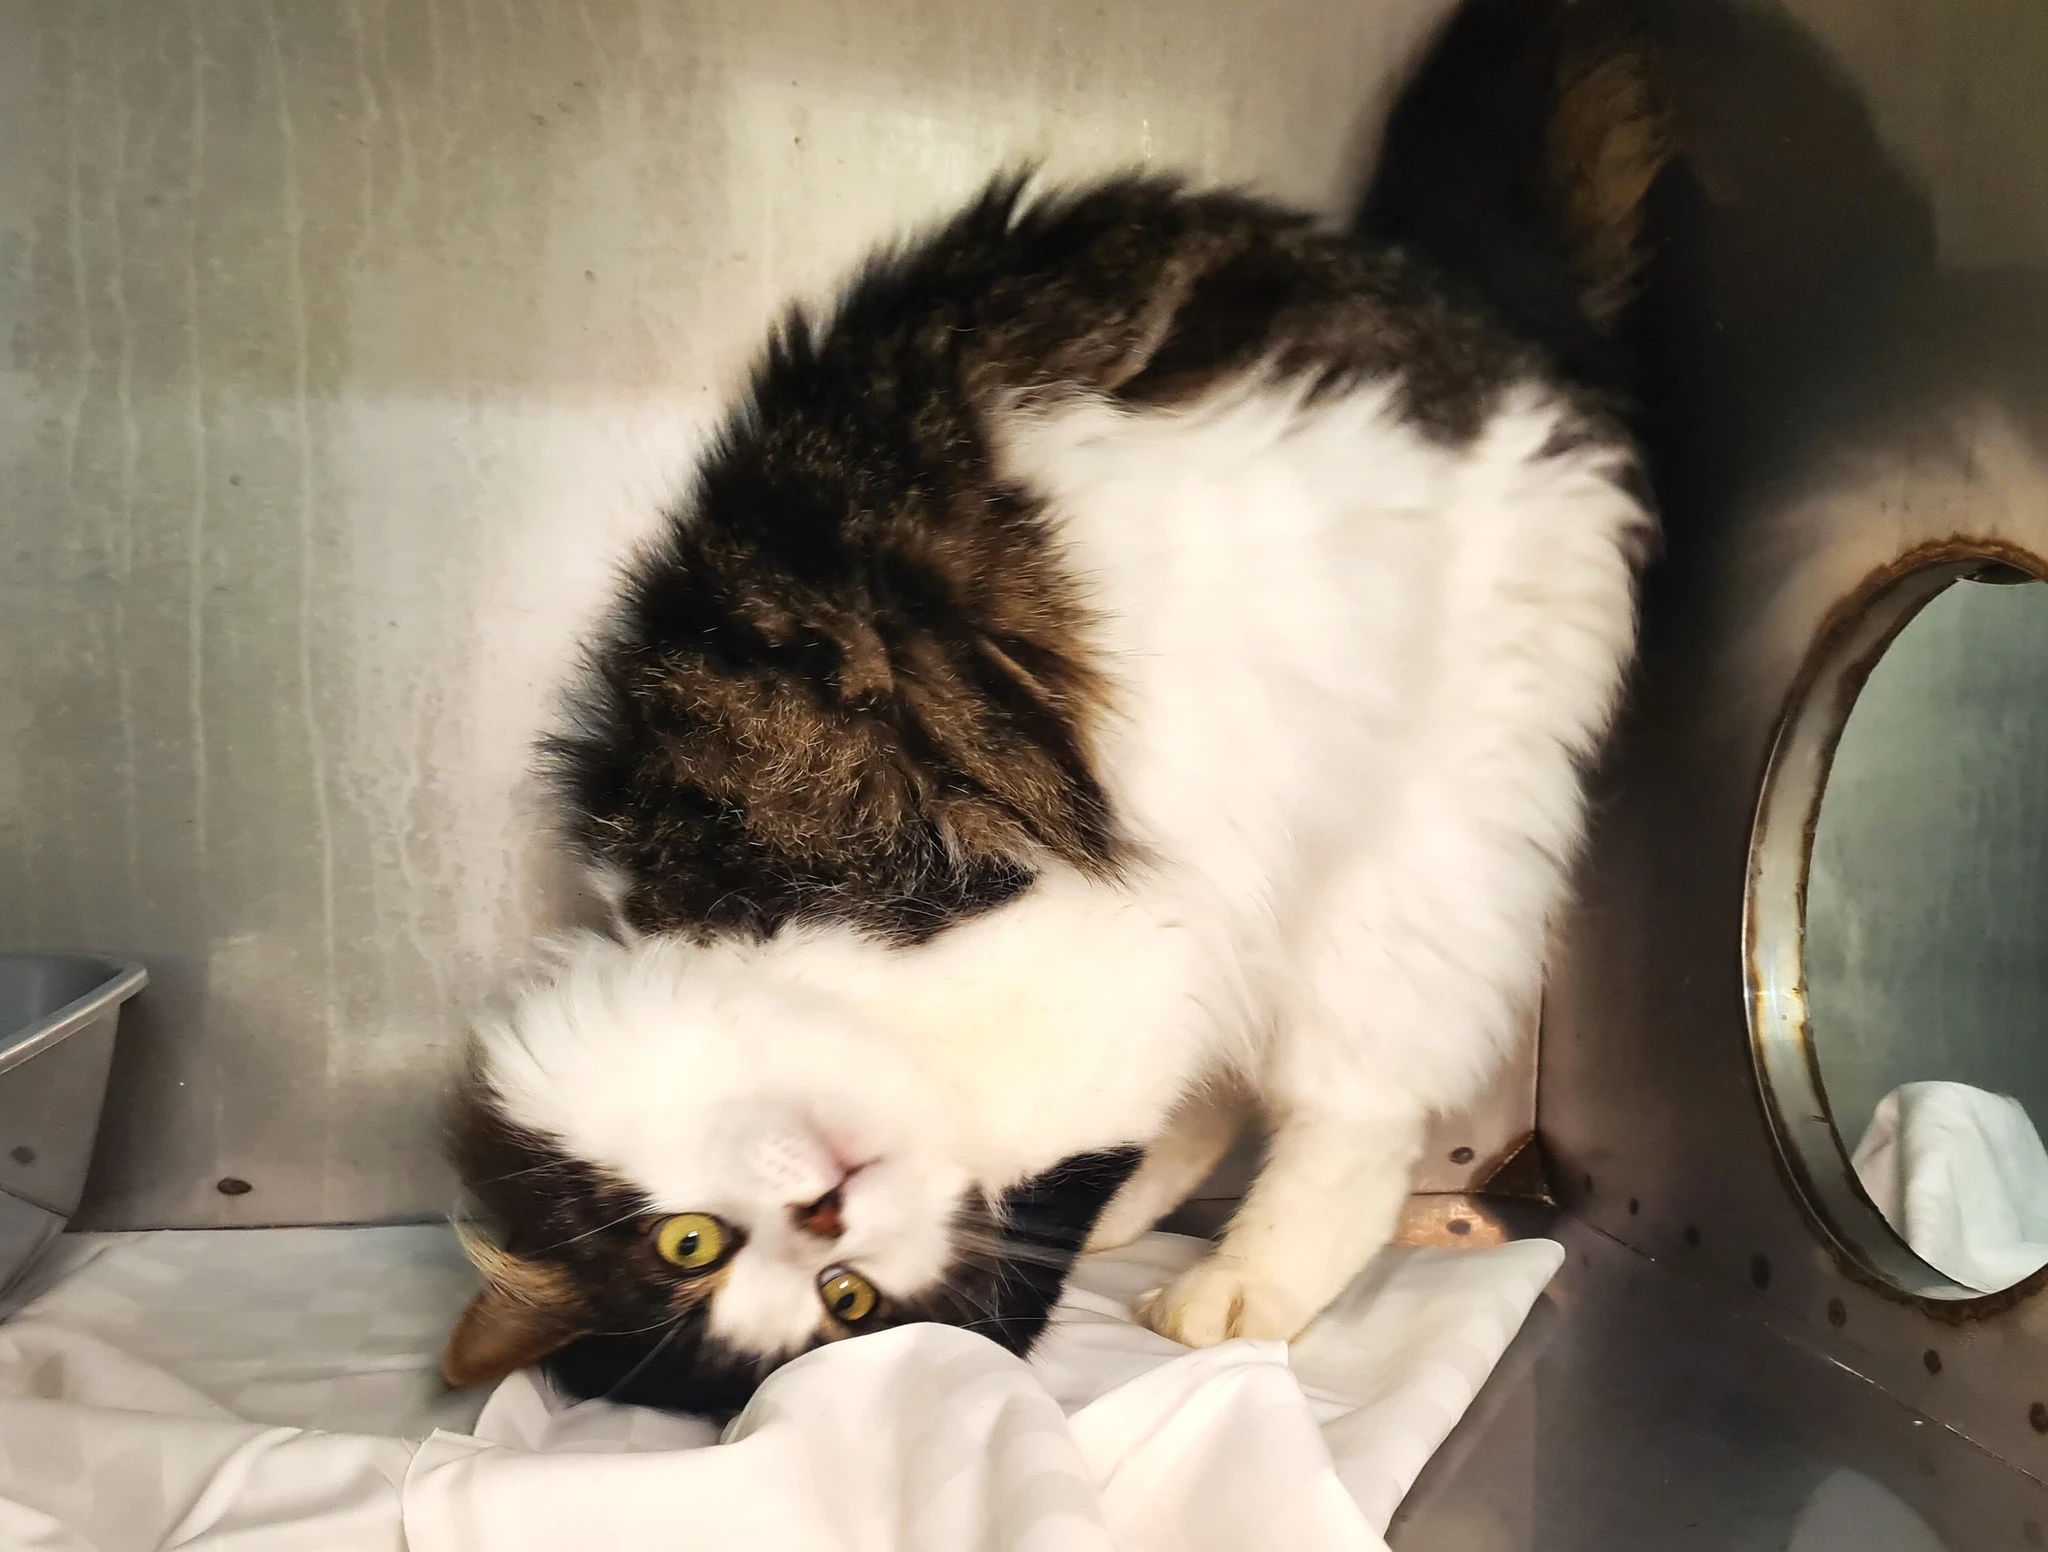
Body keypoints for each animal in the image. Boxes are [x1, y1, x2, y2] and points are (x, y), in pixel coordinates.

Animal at [442, 0, 1674, 1415]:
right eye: (843, 1307)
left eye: (686, 1242)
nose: (826, 1214)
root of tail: (1454, 275)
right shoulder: (1146, 972)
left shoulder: (1104, 946)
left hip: (1423, 840)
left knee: (1352, 1116)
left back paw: (1238, 1292)